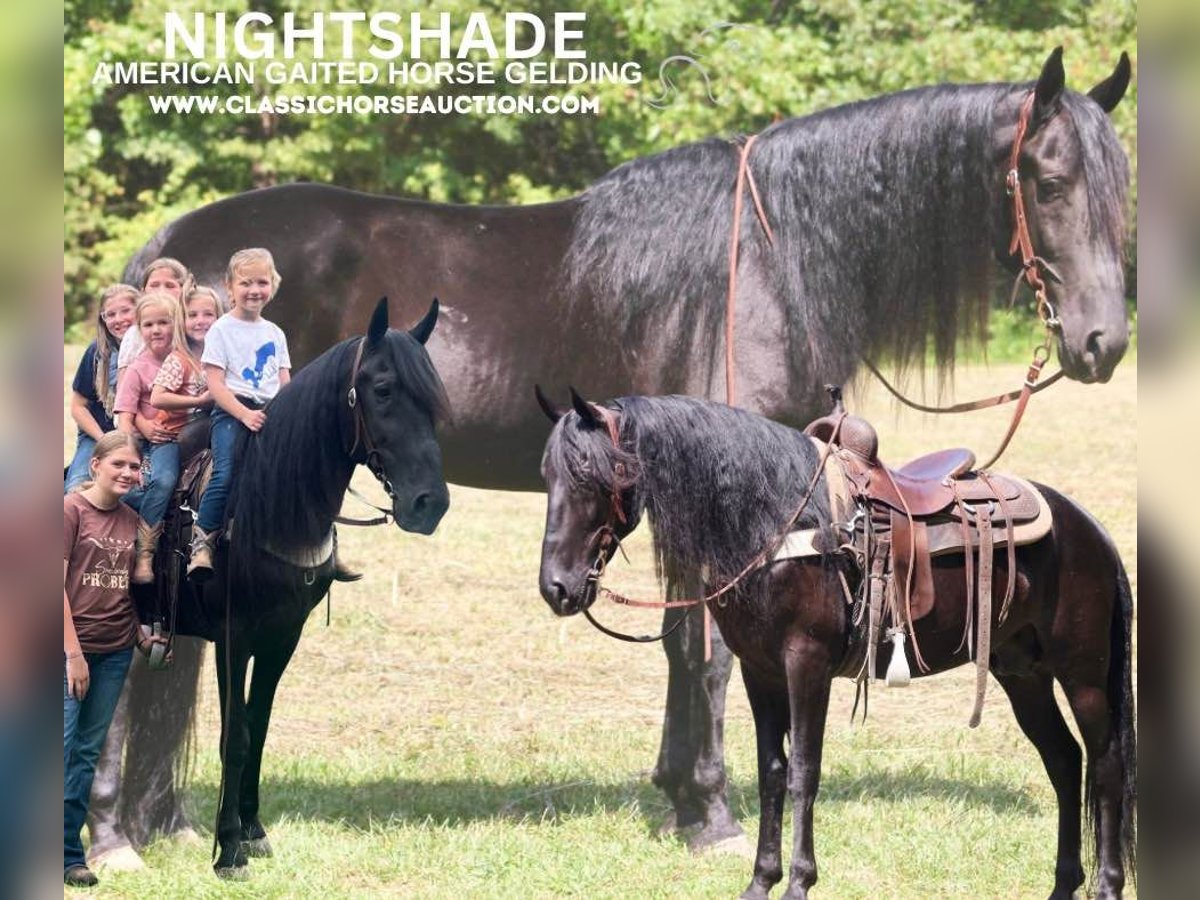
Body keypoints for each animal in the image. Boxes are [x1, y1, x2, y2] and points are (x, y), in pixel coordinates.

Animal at [152, 300, 448, 878]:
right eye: (383, 389)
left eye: (433, 397)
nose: (431, 504)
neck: (266, 502)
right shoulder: (233, 637)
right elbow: (236, 736)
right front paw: (228, 850)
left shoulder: (283, 636)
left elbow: (260, 727)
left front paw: (252, 831)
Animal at [540, 393, 1137, 900]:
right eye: (547, 475)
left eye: (595, 474)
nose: (557, 587)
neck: (775, 522)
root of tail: (1091, 528)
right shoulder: (760, 671)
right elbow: (772, 773)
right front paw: (761, 881)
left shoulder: (807, 665)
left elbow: (804, 771)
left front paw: (799, 882)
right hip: (1022, 675)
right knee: (1065, 761)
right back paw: (1062, 886)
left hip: (1082, 674)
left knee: (1105, 764)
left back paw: (1108, 885)